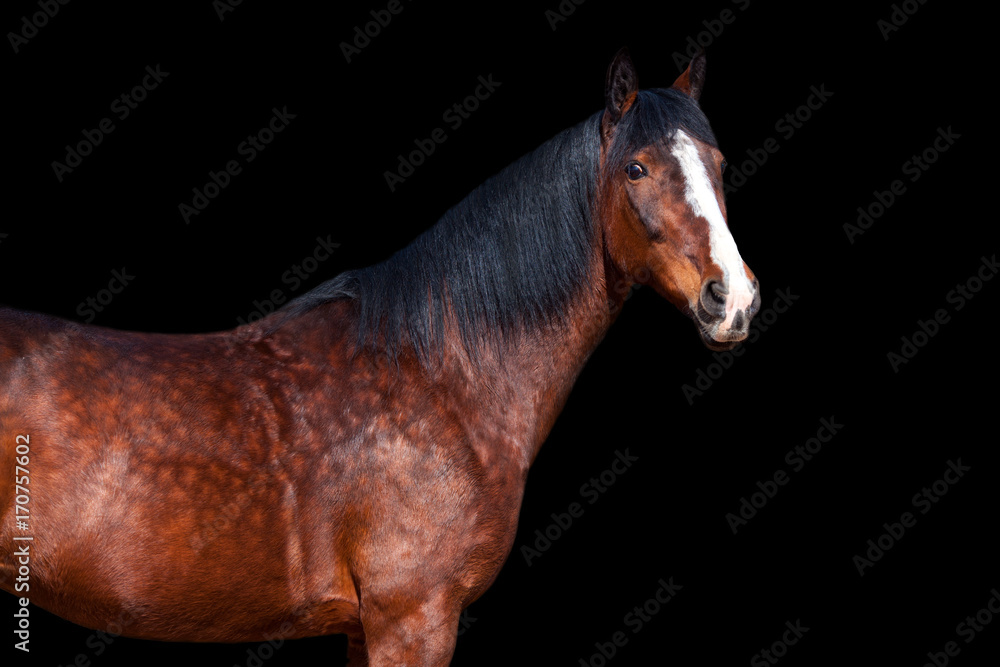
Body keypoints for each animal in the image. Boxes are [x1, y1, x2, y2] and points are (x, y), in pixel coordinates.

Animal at [1, 49, 756, 664]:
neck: (443, 375)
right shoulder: (412, 617)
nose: (733, 298)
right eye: (637, 168)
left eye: (719, 166)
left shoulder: (369, 628)